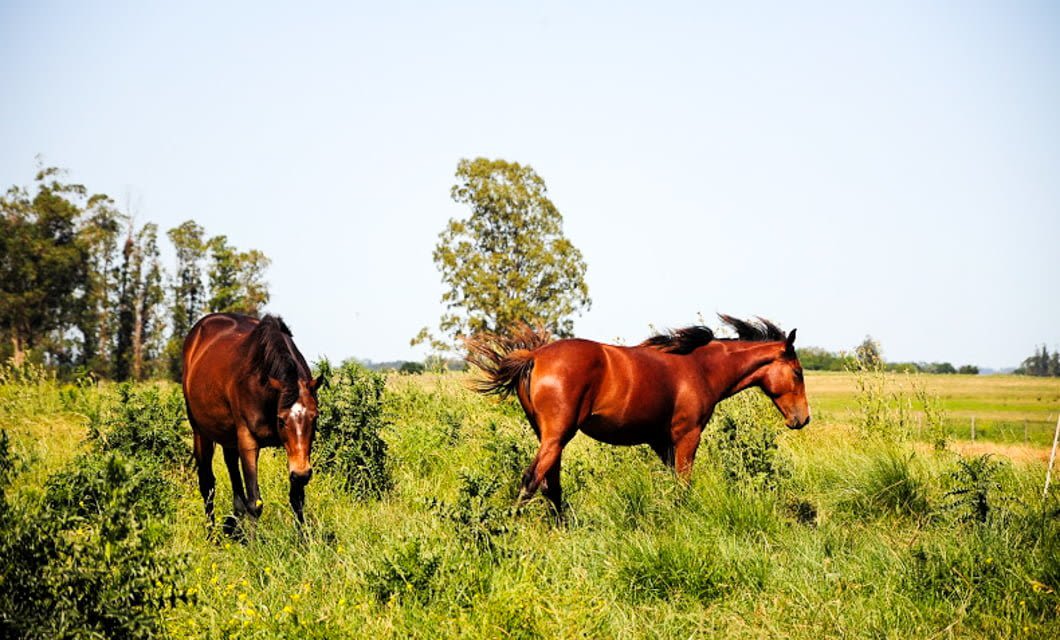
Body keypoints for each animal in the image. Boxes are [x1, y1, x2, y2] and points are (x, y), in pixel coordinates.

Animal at [181, 313, 323, 529]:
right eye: (281, 420)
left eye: (314, 417)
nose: (302, 473)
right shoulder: (248, 441)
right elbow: (255, 503)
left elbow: (297, 499)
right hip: (200, 432)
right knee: (207, 485)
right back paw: (211, 532)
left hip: (229, 438)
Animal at [465, 314, 810, 514]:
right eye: (797, 372)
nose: (802, 419)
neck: (700, 368)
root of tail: (534, 355)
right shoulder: (688, 437)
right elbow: (683, 484)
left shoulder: (661, 441)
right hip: (557, 436)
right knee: (532, 480)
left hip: (551, 438)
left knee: (552, 484)